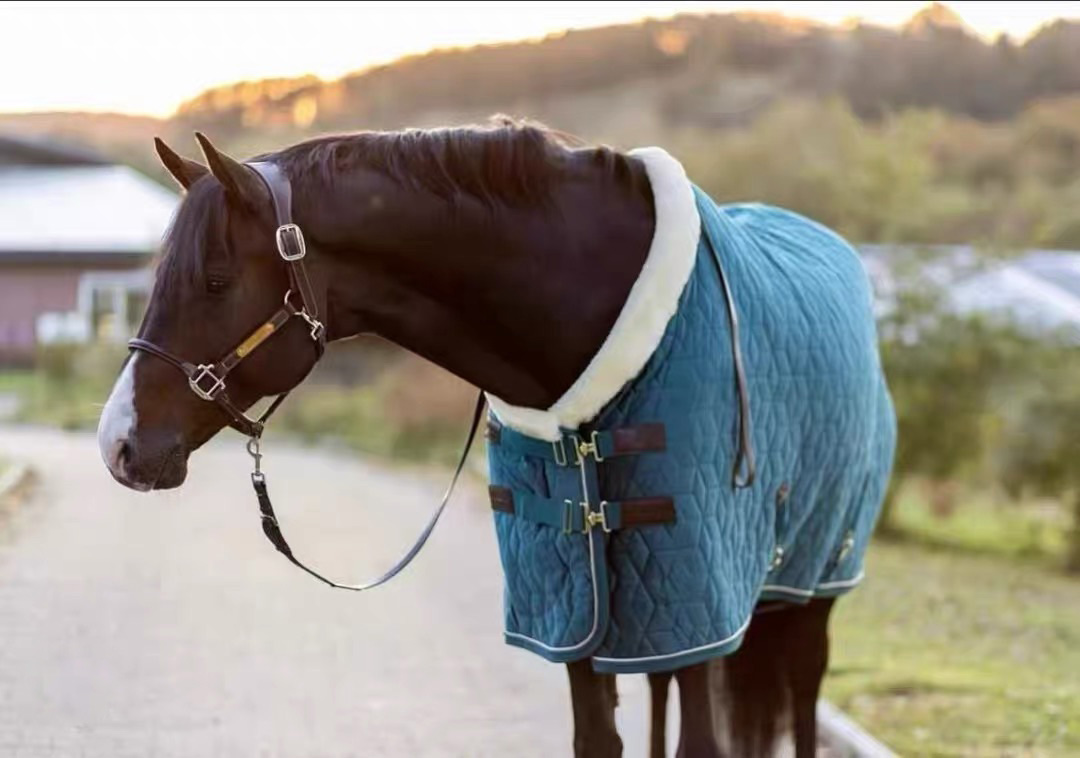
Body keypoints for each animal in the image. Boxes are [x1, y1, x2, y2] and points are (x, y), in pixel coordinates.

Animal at [97, 119, 895, 757]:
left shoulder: (700, 599)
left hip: (809, 584)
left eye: (215, 279)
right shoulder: (583, 612)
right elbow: (598, 739)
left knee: (800, 700)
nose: (119, 444)